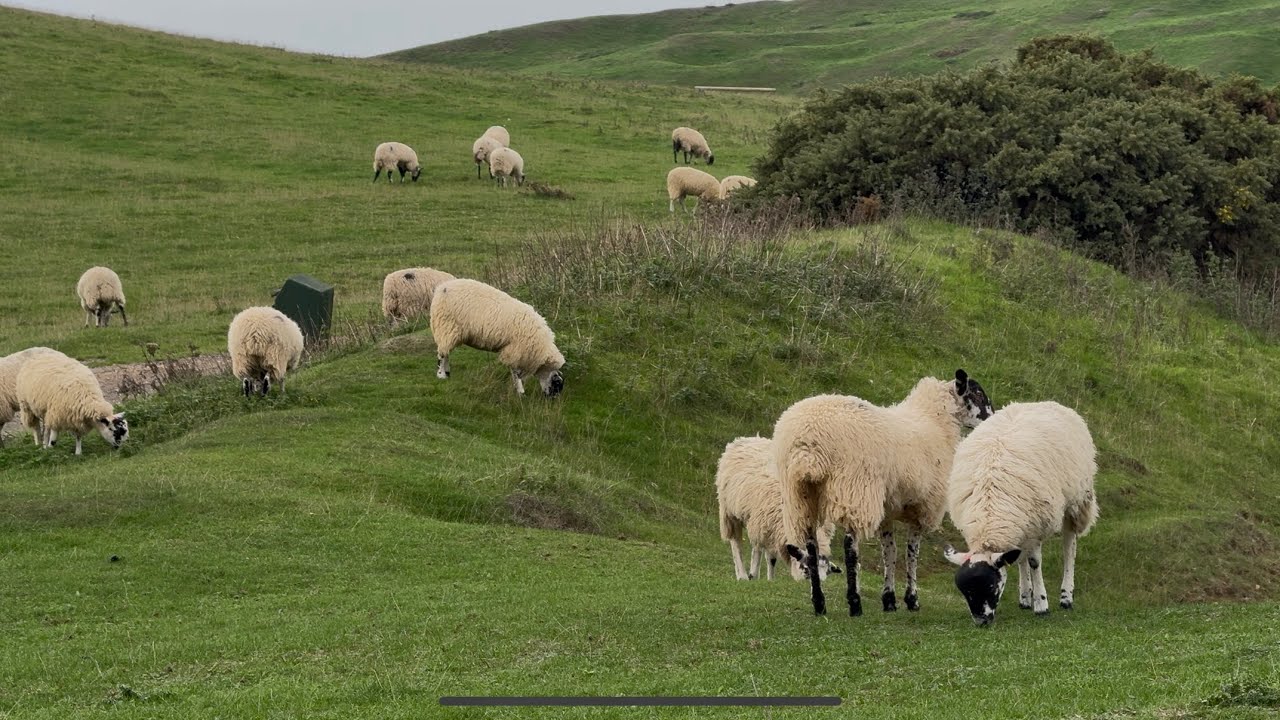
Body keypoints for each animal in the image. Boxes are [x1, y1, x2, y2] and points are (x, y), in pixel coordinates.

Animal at [430, 279, 564, 397]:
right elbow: (516, 372)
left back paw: (447, 372)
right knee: (442, 354)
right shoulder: (516, 349)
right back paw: (441, 374)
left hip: (448, 331)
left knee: (445, 350)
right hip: (446, 326)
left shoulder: (514, 350)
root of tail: (441, 288)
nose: (552, 399)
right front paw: (521, 392)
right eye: (557, 384)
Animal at [716, 436, 841, 581]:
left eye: (826, 574)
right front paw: (753, 575)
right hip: (729, 511)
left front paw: (770, 580)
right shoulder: (764, 521)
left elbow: (771, 558)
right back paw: (743, 575)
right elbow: (759, 550)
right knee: (736, 543)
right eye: (806, 570)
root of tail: (746, 439)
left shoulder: (773, 527)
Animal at [775, 370, 995, 617]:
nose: (992, 417)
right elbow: (911, 553)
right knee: (850, 547)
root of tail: (807, 447)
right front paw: (912, 599)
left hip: (800, 496)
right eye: (978, 394)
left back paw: (819, 603)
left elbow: (889, 552)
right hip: (855, 489)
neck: (935, 420)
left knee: (811, 548)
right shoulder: (922, 508)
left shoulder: (888, 511)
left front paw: (889, 599)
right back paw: (855, 603)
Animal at [943, 401, 1098, 626]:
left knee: (1069, 547)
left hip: (1075, 499)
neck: (988, 520)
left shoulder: (1036, 526)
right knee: (1021, 555)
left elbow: (1035, 563)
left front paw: (1041, 604)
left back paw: (1066, 596)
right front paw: (1029, 596)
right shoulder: (1021, 523)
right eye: (964, 592)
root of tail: (1044, 402)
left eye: (991, 586)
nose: (981, 622)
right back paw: (1025, 597)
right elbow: (1020, 559)